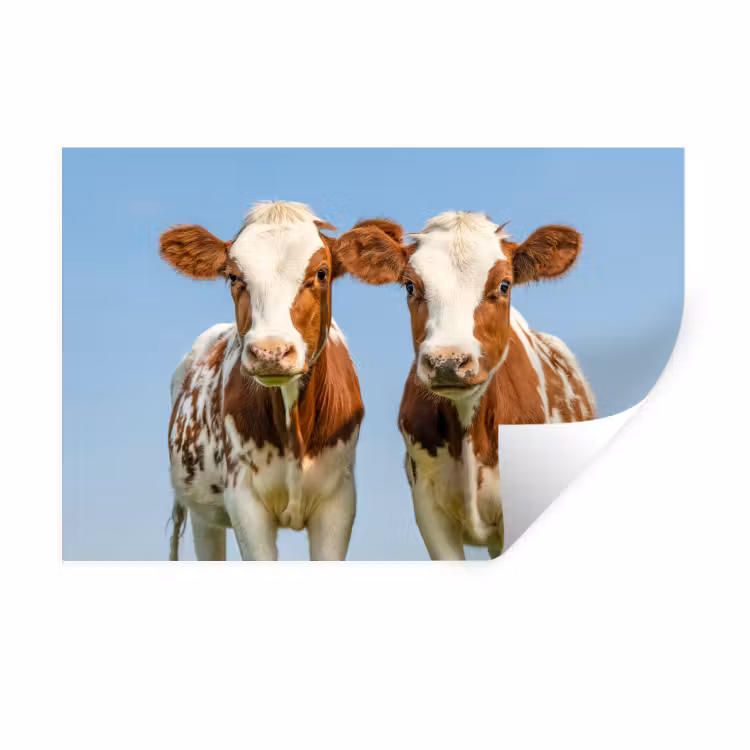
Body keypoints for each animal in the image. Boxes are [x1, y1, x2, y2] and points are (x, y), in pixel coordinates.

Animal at [161, 201, 364, 561]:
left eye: (321, 273)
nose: (270, 351)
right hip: (202, 514)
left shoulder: (339, 501)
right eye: (233, 276)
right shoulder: (244, 500)